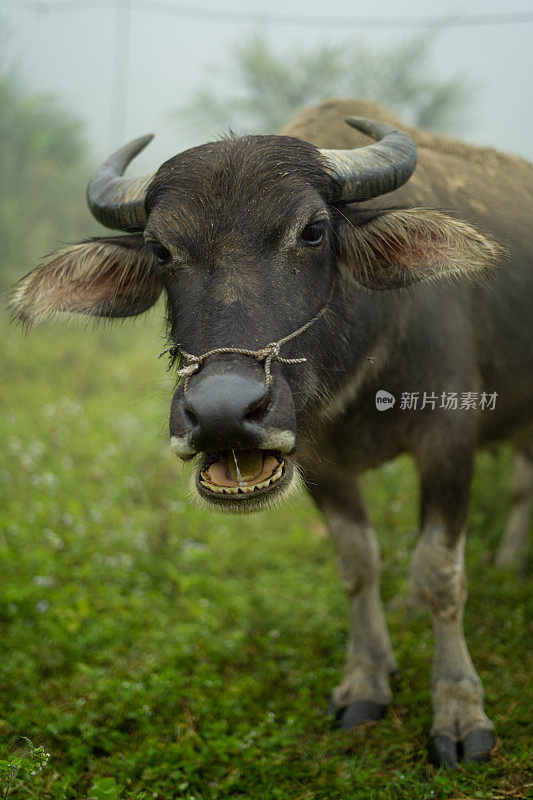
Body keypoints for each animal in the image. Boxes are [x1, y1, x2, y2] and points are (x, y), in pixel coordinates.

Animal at [9, 97, 532, 764]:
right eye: (161, 251)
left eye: (312, 231)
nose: (223, 413)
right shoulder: (321, 463)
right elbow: (358, 564)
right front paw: (365, 680)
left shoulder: (448, 437)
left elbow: (440, 570)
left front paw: (460, 712)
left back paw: (509, 560)